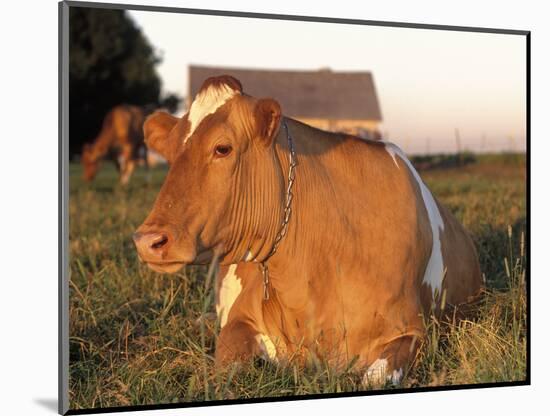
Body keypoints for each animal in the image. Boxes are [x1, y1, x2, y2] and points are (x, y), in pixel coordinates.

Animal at [134, 75, 484, 386]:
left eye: (222, 148)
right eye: (169, 153)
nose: (147, 240)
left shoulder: (413, 332)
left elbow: (374, 378)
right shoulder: (241, 319)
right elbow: (224, 363)